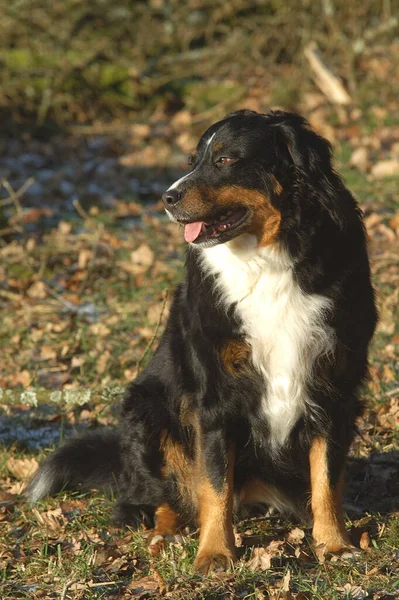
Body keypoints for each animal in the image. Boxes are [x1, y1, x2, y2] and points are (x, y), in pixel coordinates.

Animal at [28, 110, 378, 576]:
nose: (166, 198)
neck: (269, 259)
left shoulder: (334, 386)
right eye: (193, 160)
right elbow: (213, 484)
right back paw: (167, 532)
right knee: (158, 497)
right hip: (150, 409)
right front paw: (214, 553)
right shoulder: (215, 396)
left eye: (225, 159)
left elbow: (326, 477)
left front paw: (334, 544)